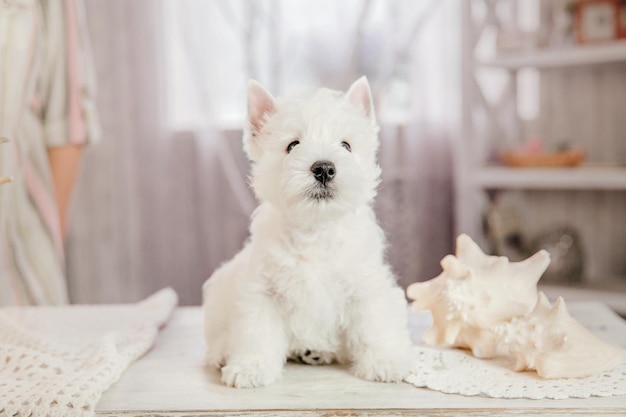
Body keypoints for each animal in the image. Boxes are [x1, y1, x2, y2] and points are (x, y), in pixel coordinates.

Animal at [202, 77, 412, 386]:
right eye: (292, 145)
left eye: (346, 145)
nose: (324, 168)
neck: (315, 231)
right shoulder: (262, 291)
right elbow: (257, 333)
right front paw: (250, 368)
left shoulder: (365, 285)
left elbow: (374, 324)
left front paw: (384, 361)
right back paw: (221, 355)